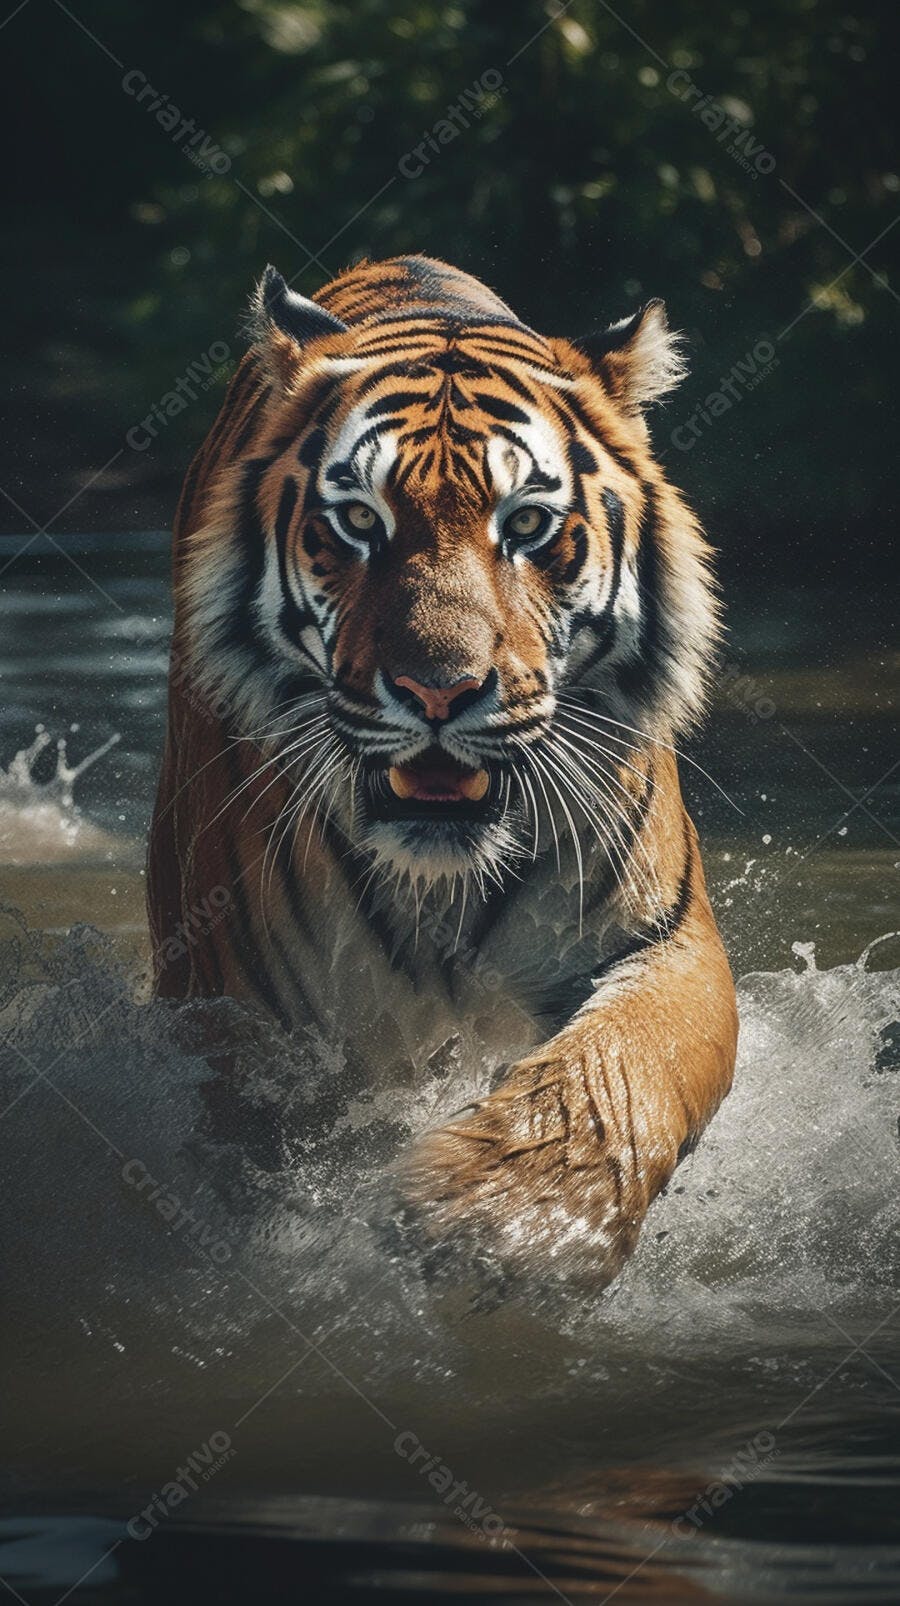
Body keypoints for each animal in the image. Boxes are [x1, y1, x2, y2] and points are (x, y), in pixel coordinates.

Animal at [147, 253, 738, 1285]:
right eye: (356, 520)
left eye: (529, 524)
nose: (438, 690)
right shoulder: (244, 1025)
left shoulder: (665, 942)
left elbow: (623, 1071)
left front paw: (507, 1221)